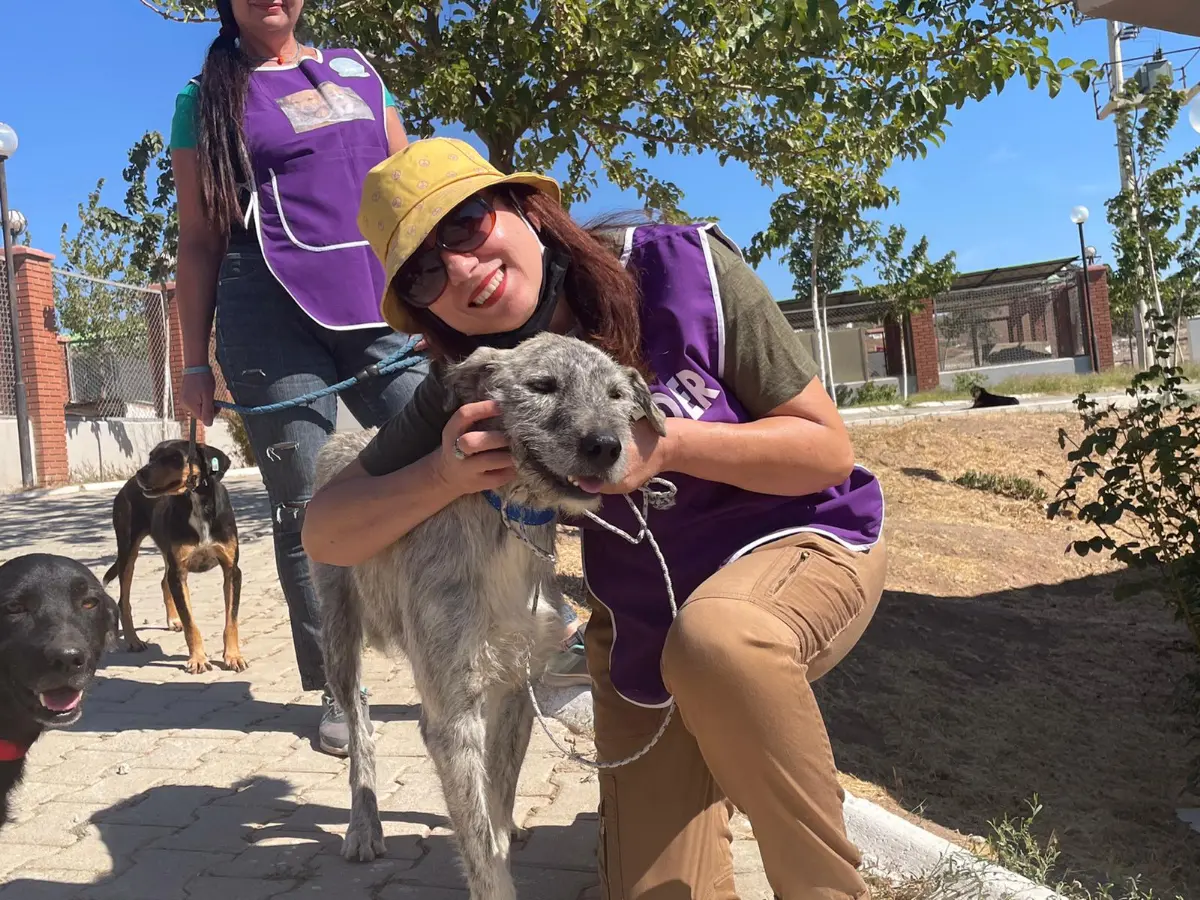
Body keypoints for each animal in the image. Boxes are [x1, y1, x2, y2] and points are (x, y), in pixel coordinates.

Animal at [104, 436, 244, 676]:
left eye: (175, 458)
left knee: (162, 582)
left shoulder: (231, 570)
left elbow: (231, 620)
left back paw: (173, 620)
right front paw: (198, 659)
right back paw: (134, 640)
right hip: (128, 551)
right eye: (151, 457)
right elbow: (191, 624)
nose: (141, 473)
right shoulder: (179, 573)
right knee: (124, 600)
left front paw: (233, 656)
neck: (195, 502)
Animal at [309, 333, 667, 900]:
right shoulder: (453, 716)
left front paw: (504, 825)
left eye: (616, 395)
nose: (607, 446)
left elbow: (495, 796)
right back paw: (363, 825)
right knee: (361, 728)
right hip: (340, 636)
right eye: (542, 385)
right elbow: (479, 844)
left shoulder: (517, 687)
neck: (509, 521)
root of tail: (345, 442)